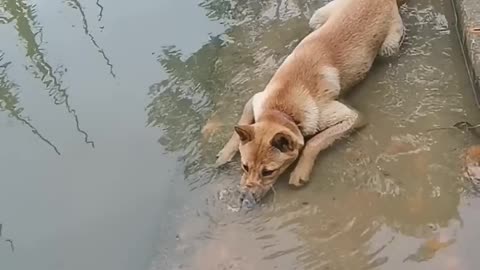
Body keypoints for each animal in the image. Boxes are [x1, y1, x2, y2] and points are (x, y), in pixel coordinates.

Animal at [216, 0, 406, 204]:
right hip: (317, 18)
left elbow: (314, 142)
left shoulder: (352, 117)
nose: (246, 199)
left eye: (268, 172)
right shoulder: (257, 98)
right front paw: (225, 153)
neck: (282, 110)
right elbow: (242, 122)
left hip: (389, 48)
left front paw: (300, 171)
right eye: (244, 167)